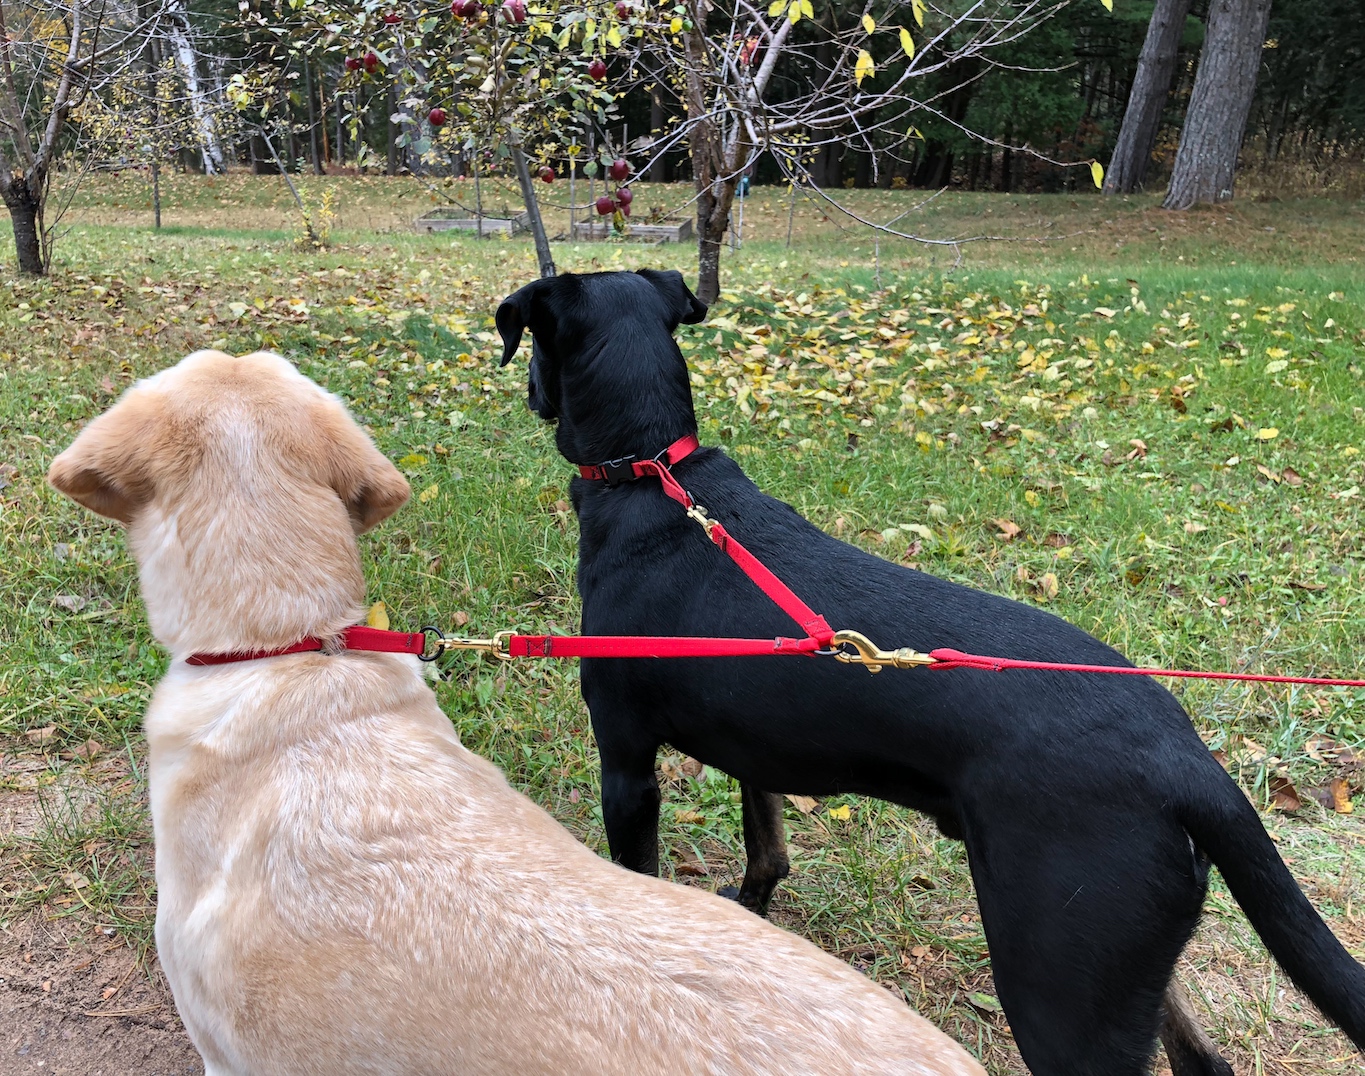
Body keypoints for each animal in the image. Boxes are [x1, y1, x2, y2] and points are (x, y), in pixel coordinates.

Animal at [499, 273, 1365, 1076]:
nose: (529, 394)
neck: (652, 478)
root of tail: (1187, 762)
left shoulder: (626, 760)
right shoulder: (754, 748)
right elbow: (766, 848)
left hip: (1057, 982)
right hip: (1123, 962)